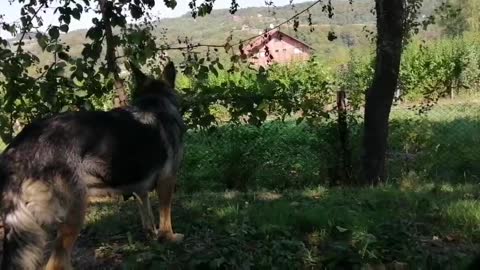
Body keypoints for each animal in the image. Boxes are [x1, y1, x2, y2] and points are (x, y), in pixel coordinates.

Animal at [0, 61, 186, 270]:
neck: (154, 102)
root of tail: (18, 149)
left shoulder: (139, 186)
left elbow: (146, 212)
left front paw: (152, 236)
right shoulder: (167, 180)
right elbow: (165, 215)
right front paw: (169, 238)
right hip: (75, 211)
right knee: (56, 263)